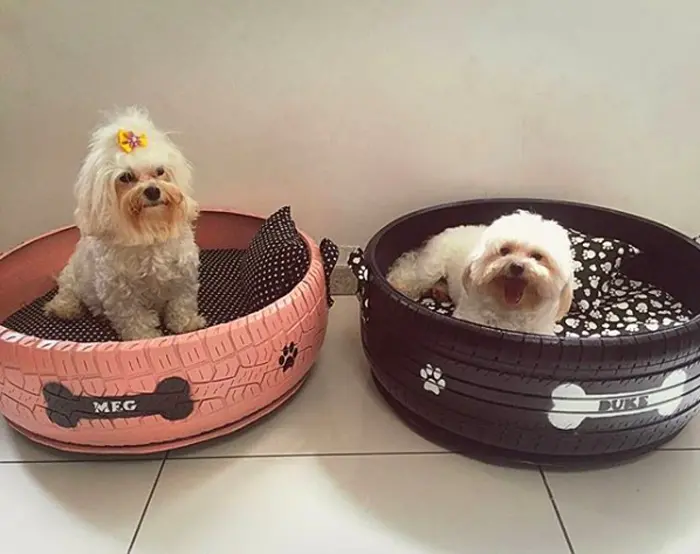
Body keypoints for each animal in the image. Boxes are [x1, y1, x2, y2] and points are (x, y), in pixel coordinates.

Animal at [44, 106, 205, 340]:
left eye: (160, 171)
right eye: (126, 177)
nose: (153, 190)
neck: (149, 231)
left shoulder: (183, 278)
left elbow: (181, 304)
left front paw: (187, 324)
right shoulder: (121, 295)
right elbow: (134, 319)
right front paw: (145, 338)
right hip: (72, 277)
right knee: (66, 292)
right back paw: (63, 308)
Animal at [388, 210, 576, 332]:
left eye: (537, 256)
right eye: (504, 250)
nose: (516, 266)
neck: (509, 310)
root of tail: (453, 228)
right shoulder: (469, 317)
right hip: (431, 267)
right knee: (412, 274)